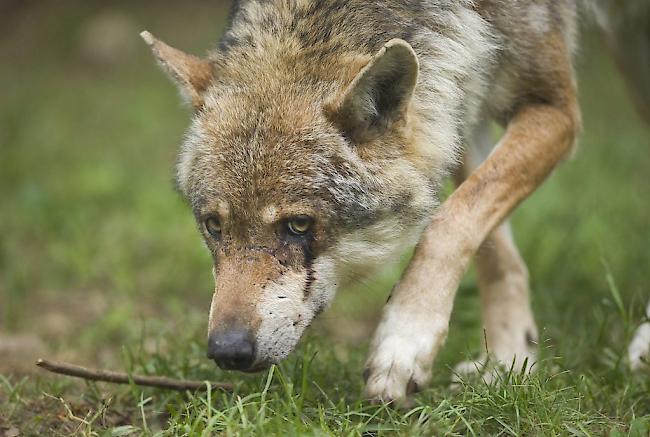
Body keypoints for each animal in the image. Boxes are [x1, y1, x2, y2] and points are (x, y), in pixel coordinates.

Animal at [142, 0, 648, 402]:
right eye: (214, 226)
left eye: (298, 225)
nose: (226, 351)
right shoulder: (457, 111)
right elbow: (495, 255)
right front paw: (508, 364)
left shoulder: (553, 108)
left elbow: (450, 222)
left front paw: (403, 344)